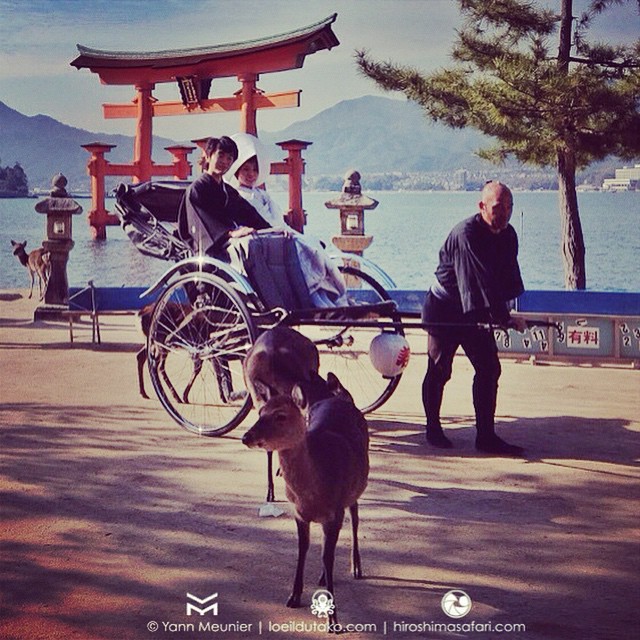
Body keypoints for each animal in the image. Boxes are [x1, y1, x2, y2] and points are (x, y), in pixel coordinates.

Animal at [241, 378, 370, 628]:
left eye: (281, 416)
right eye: (260, 412)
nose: (246, 437)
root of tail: (339, 397)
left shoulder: (335, 511)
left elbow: (327, 557)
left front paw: (333, 621)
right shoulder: (299, 513)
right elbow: (304, 549)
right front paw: (293, 597)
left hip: (354, 487)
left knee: (355, 518)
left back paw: (356, 567)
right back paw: (322, 576)